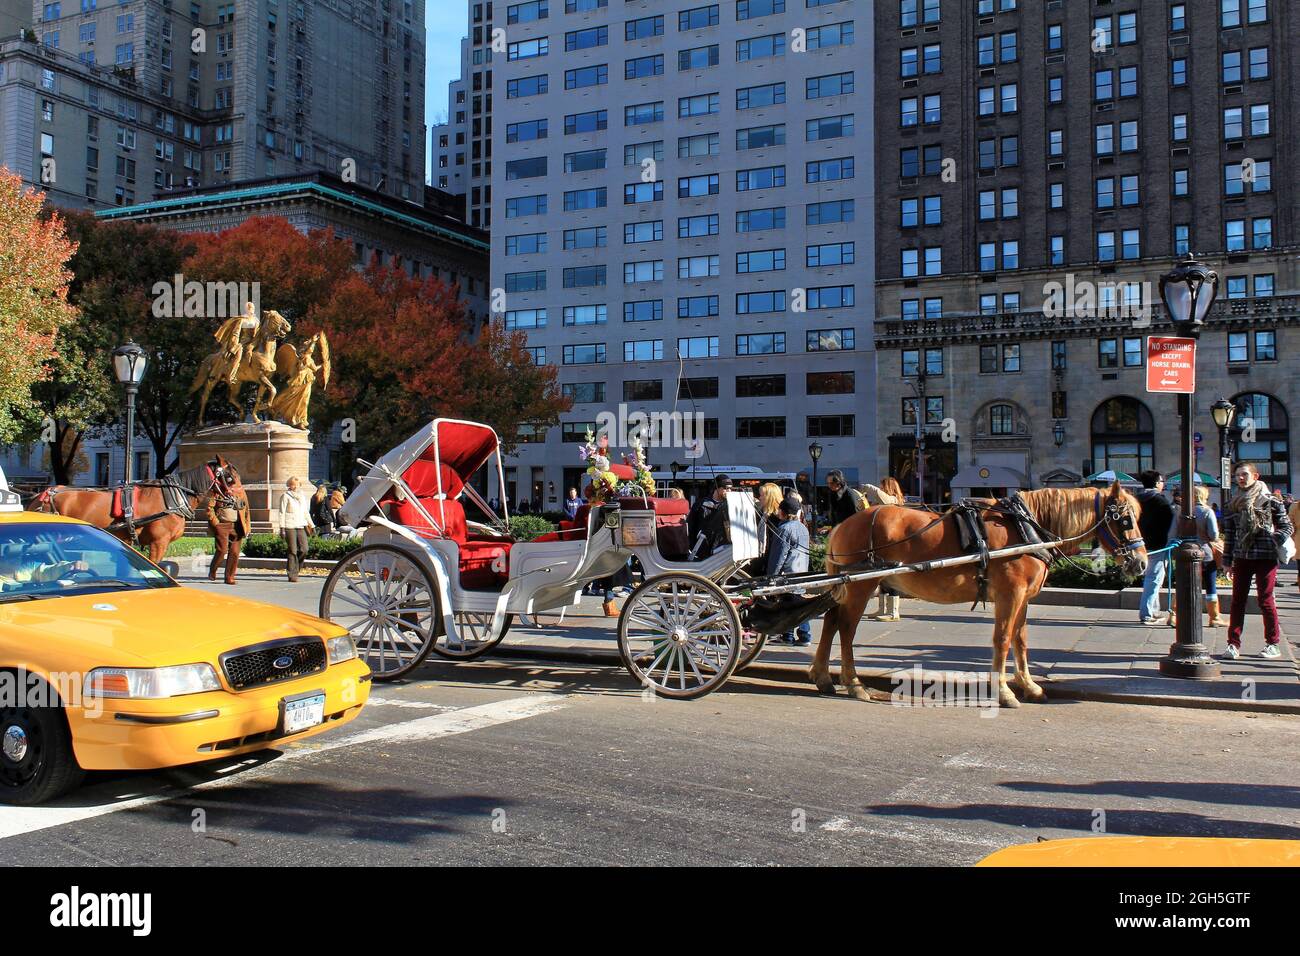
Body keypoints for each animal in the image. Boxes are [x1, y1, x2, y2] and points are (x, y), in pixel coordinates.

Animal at [811, 481, 1149, 707]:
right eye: (1125, 520)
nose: (1141, 562)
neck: (1026, 528)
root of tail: (842, 524)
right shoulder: (1010, 594)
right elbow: (1003, 638)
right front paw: (1004, 691)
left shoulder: (1024, 597)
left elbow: (1020, 640)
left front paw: (1029, 685)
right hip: (861, 585)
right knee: (846, 627)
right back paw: (854, 683)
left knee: (831, 620)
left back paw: (823, 677)